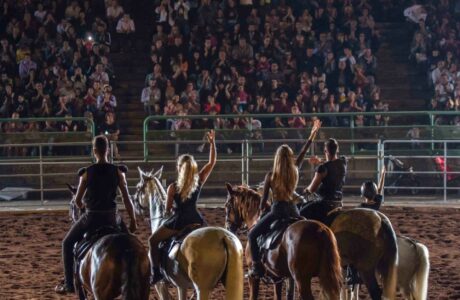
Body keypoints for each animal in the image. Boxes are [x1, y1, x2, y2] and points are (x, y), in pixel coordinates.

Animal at [132, 166, 244, 300]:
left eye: (138, 187)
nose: (135, 204)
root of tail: (222, 238)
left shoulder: (166, 285)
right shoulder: (182, 286)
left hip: (202, 289)